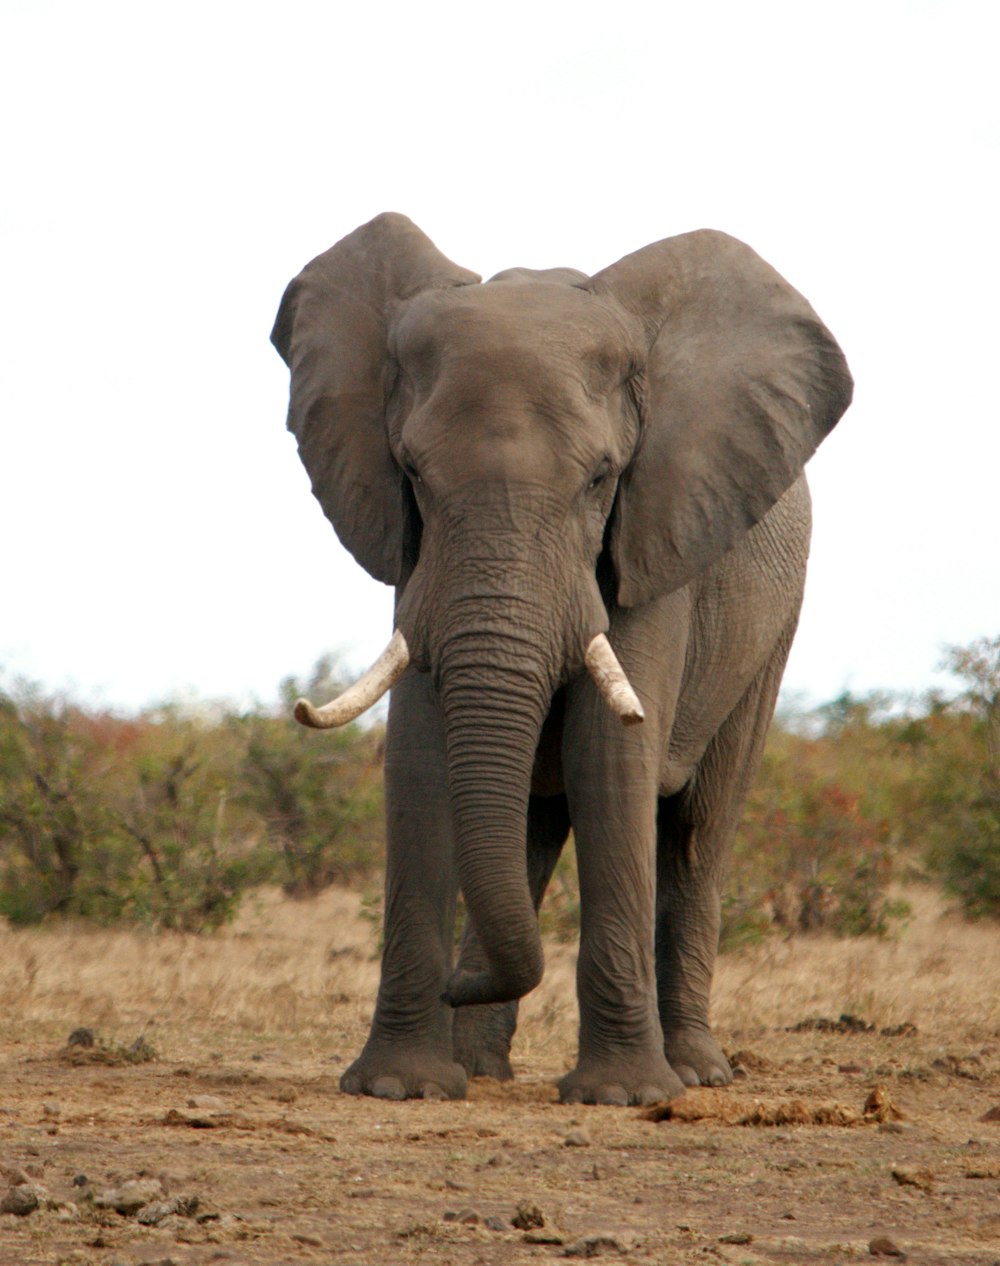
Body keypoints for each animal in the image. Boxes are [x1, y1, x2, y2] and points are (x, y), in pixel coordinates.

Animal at [274, 212, 855, 1103]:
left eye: (600, 478)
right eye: (412, 472)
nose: (455, 984)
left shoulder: (656, 533)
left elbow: (609, 757)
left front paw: (625, 1096)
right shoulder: (413, 555)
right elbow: (419, 760)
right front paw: (400, 1087)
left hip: (774, 627)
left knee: (696, 833)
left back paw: (696, 1072)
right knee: (532, 828)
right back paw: (483, 1067)